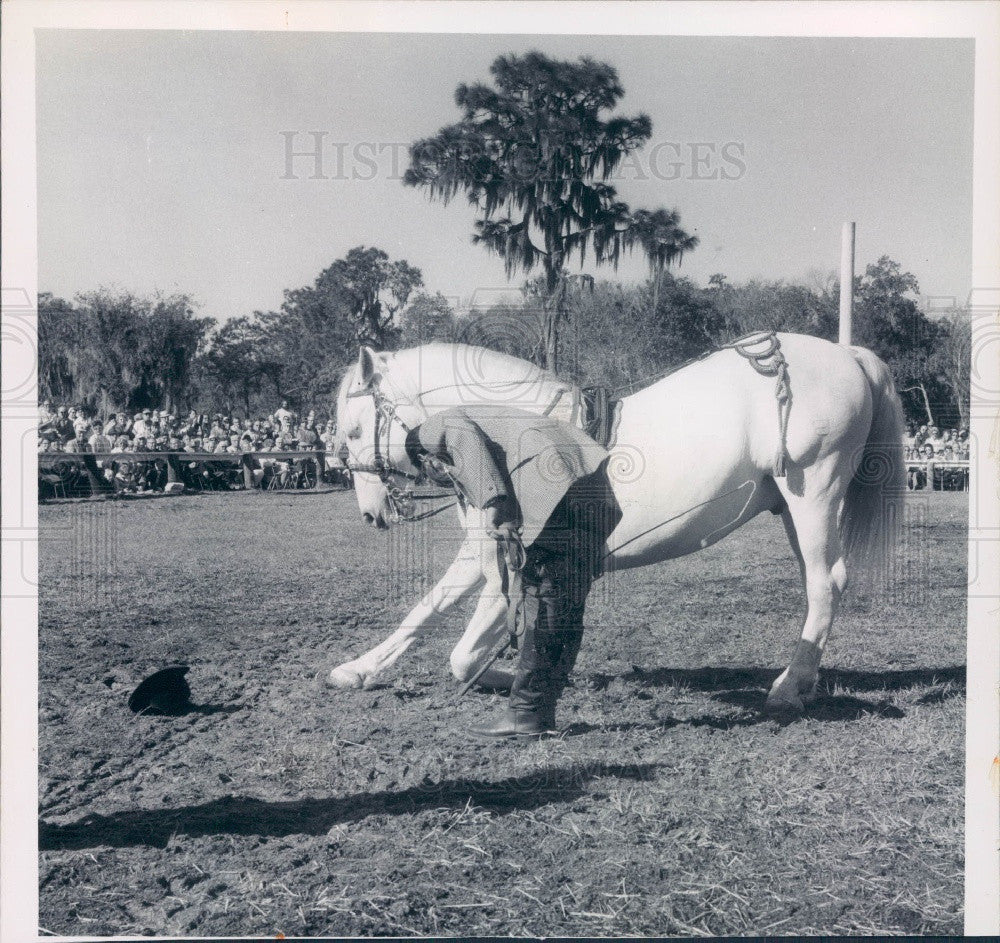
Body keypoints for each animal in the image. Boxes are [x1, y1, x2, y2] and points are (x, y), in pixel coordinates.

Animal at [330, 336, 908, 712]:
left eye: (354, 430)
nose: (371, 513)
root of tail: (847, 355)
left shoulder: (506, 561)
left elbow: (460, 651)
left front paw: (507, 674)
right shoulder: (482, 553)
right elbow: (425, 614)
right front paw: (358, 669)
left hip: (814, 495)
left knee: (825, 583)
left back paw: (789, 687)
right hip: (790, 507)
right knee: (819, 583)